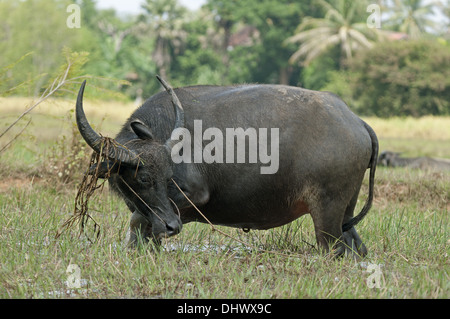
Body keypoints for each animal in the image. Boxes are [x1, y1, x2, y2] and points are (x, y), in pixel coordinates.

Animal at [75, 78, 378, 260]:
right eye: (143, 178)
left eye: (166, 176)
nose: (172, 226)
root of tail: (356, 121)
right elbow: (142, 224)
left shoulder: (192, 196)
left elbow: (138, 221)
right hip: (345, 211)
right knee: (356, 246)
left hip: (327, 213)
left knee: (334, 249)